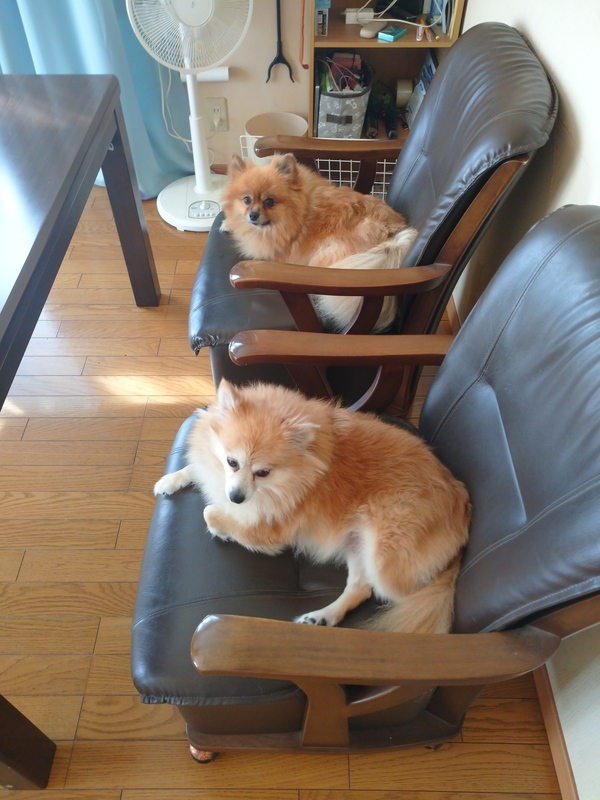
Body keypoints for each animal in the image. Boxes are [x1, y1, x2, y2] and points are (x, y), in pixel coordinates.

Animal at [154, 381, 471, 634]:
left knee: (405, 594)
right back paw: (322, 617)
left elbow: (210, 512)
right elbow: (197, 469)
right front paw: (171, 479)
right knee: (360, 588)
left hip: (385, 559)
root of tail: (463, 506)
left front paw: (220, 527)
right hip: (357, 543)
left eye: (263, 473)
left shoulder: (269, 531)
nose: (237, 497)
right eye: (232, 462)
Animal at [221, 153, 418, 332]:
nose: (253, 215)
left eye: (269, 202)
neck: (299, 212)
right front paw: (227, 223)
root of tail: (393, 234)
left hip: (326, 254)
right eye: (246, 200)